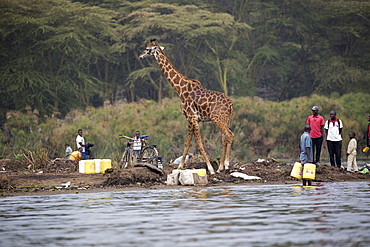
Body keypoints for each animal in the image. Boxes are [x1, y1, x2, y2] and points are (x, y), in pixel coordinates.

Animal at [139, 39, 234, 174]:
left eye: (147, 49)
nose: (140, 56)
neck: (180, 90)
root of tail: (231, 105)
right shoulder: (190, 119)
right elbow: (187, 142)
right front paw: (180, 166)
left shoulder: (192, 117)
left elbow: (199, 143)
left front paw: (210, 169)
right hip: (225, 119)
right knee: (224, 137)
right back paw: (221, 166)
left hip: (217, 118)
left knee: (229, 135)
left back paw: (226, 165)